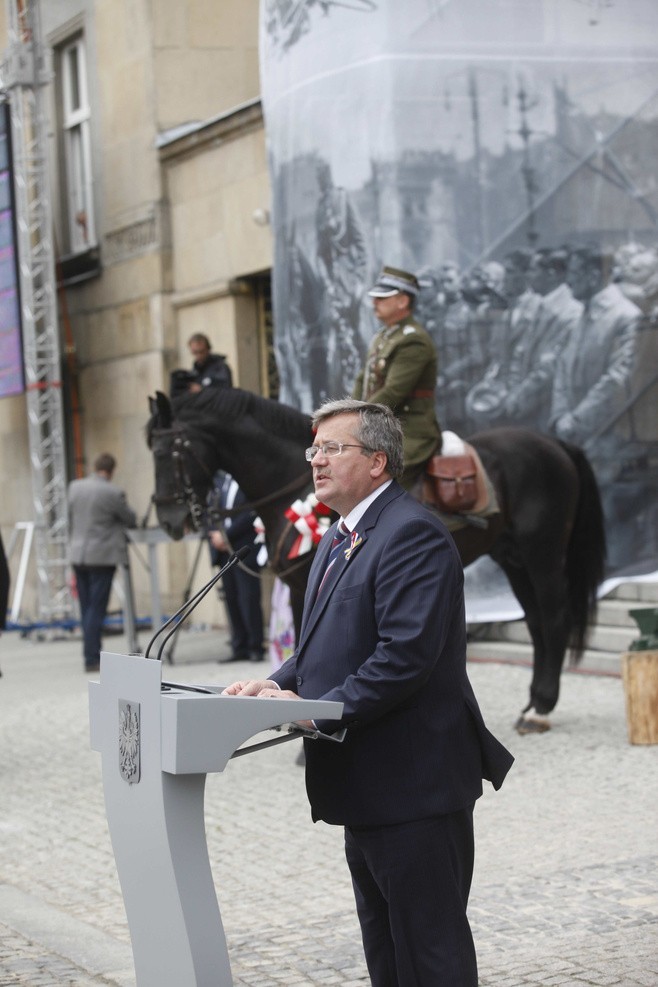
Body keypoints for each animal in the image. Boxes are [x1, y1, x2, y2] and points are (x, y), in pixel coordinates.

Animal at [147, 388, 604, 732]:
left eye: (170, 449)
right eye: (150, 448)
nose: (170, 520)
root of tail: (554, 443)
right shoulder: (299, 588)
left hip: (542, 553)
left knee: (554, 618)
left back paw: (541, 709)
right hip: (513, 558)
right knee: (536, 622)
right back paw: (533, 703)